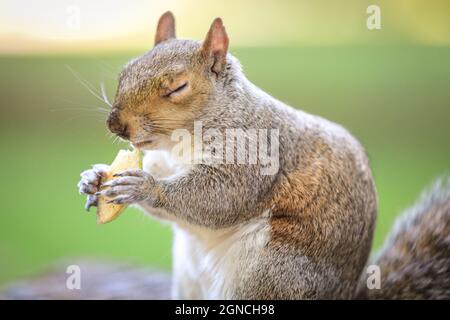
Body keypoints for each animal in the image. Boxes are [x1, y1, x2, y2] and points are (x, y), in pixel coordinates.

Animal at [78, 11, 450, 298]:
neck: (177, 146)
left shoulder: (254, 152)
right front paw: (92, 179)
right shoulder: (162, 161)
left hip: (272, 271)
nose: (116, 124)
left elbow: (219, 198)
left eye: (177, 88)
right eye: (124, 72)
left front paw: (143, 187)